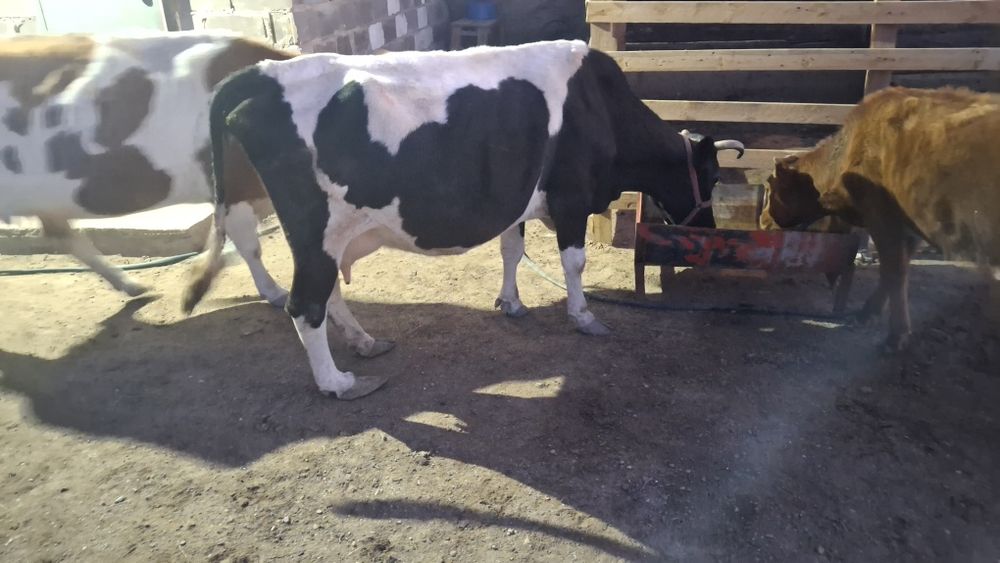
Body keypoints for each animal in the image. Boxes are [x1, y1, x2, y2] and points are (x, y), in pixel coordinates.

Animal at [0, 31, 292, 304]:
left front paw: (196, 284)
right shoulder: (234, 185)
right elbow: (248, 245)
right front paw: (275, 293)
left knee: (62, 235)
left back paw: (134, 287)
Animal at [181, 40, 745, 399]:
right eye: (713, 176)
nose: (709, 235)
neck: (601, 106)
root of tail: (262, 73)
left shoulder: (519, 198)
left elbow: (512, 249)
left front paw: (511, 303)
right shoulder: (570, 197)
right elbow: (574, 263)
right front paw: (584, 317)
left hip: (326, 237)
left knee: (327, 295)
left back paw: (365, 344)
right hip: (317, 230)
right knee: (304, 306)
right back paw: (337, 383)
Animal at [761, 86, 1000, 351]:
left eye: (770, 189)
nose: (762, 220)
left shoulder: (882, 217)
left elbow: (894, 271)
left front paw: (896, 335)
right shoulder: (910, 228)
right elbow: (897, 270)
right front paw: (869, 312)